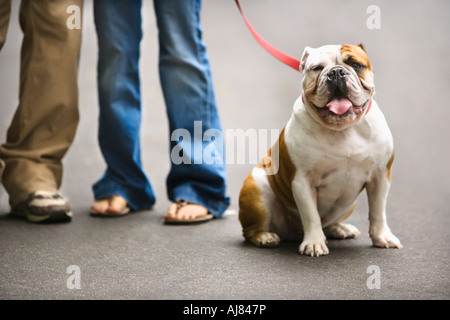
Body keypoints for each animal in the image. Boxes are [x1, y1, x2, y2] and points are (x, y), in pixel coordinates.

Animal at [237, 43, 402, 256]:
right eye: (317, 68)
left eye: (355, 65)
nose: (337, 72)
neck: (343, 130)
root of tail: (293, 232)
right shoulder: (302, 181)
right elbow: (311, 215)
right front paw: (314, 243)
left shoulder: (380, 176)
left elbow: (378, 211)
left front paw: (382, 236)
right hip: (257, 189)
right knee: (251, 230)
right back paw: (265, 237)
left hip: (348, 205)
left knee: (330, 222)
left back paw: (340, 228)